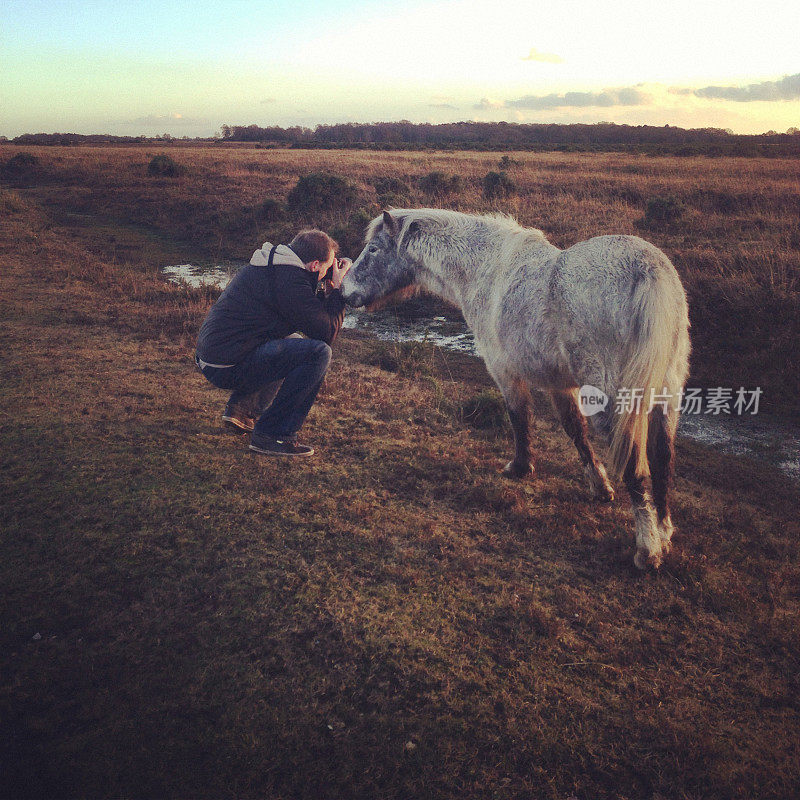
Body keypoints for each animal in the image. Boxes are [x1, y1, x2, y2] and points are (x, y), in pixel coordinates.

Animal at [340, 209, 692, 564]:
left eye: (373, 249)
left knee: (635, 466)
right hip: (667, 394)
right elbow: (575, 430)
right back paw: (663, 531)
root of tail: (648, 270)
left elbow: (519, 418)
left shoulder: (504, 371)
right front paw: (600, 487)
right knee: (663, 457)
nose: (344, 291)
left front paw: (519, 468)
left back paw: (647, 550)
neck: (485, 270)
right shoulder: (559, 384)